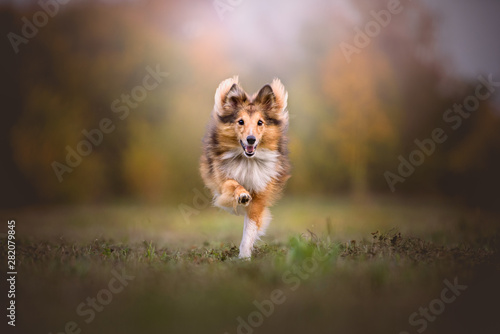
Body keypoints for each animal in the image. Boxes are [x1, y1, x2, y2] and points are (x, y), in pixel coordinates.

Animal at [200, 77, 292, 260]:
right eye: (240, 121)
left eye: (260, 122)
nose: (251, 139)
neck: (248, 160)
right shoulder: (222, 180)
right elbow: (232, 184)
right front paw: (242, 195)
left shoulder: (260, 195)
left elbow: (250, 228)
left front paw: (244, 256)